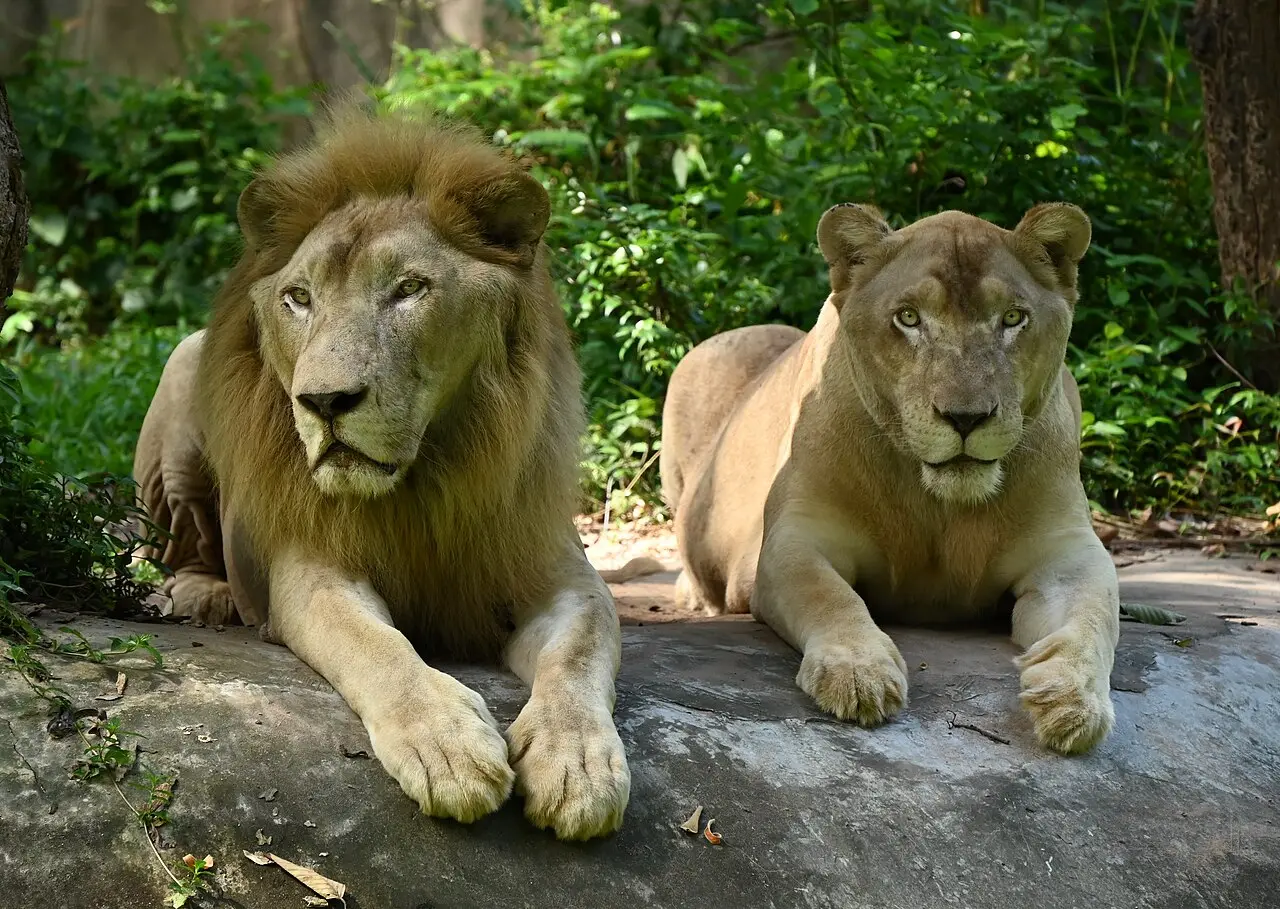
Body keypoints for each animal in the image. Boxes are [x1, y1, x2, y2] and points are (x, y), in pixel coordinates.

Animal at [132, 106, 630, 840]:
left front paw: (578, 767)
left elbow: (579, 649)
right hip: (183, 370)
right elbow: (377, 645)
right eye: (299, 298)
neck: (426, 478)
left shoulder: (559, 570)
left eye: (409, 289)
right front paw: (447, 747)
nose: (323, 401)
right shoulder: (311, 569)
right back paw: (204, 595)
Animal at [660, 202, 1120, 755]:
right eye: (909, 318)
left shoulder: (1067, 551)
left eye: (1012, 318)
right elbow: (830, 596)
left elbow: (1094, 615)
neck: (939, 504)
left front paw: (1072, 699)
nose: (966, 418)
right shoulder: (795, 540)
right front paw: (859, 674)